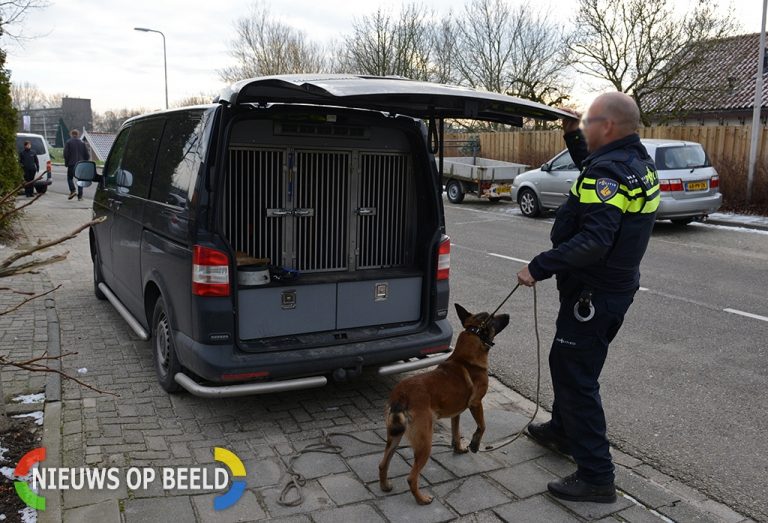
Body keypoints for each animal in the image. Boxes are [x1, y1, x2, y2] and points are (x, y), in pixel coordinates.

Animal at [378, 304, 510, 506]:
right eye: (493, 318)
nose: (508, 315)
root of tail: (401, 396)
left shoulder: (457, 412)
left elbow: (456, 431)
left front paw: (459, 448)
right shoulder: (476, 403)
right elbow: (482, 426)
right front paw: (474, 444)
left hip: (395, 436)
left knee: (383, 464)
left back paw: (385, 486)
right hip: (425, 442)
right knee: (411, 477)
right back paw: (422, 499)